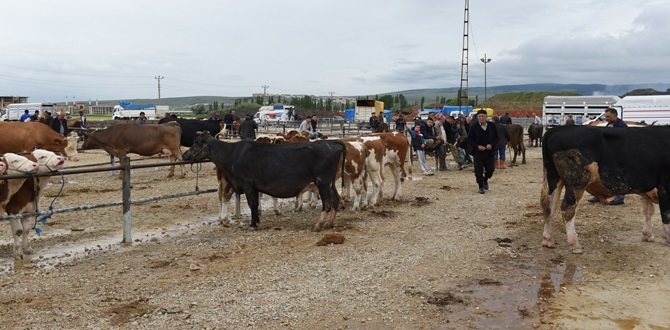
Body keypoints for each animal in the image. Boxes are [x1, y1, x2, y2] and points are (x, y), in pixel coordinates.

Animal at [184, 133, 346, 231]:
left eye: (196, 142)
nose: (185, 155)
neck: (232, 154)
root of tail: (335, 143)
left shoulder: (247, 184)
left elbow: (252, 204)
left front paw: (253, 224)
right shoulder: (253, 186)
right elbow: (255, 203)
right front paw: (256, 221)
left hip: (322, 182)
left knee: (327, 202)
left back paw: (319, 224)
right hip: (330, 182)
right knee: (336, 199)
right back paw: (330, 223)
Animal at [540, 125, 670, 254]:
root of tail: (559, 128)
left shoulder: (646, 190)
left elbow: (648, 211)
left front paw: (648, 235)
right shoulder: (665, 186)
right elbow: (666, 213)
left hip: (554, 179)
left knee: (550, 208)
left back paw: (548, 240)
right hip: (577, 182)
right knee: (567, 208)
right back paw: (575, 244)